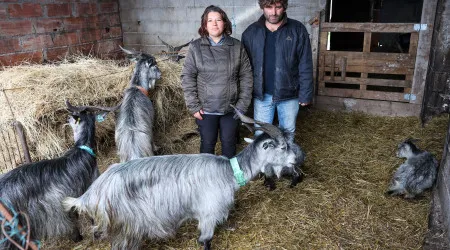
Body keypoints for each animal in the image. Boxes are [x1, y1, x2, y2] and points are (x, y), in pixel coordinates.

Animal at [61, 105, 298, 250]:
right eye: (283, 147)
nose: (296, 159)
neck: (229, 172)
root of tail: (92, 193)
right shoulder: (208, 214)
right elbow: (205, 241)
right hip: (126, 225)